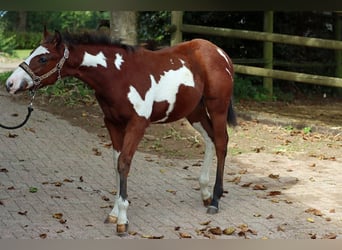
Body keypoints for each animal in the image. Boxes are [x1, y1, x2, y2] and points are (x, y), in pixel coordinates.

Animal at [5, 28, 236, 234]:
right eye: (31, 53)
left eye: (43, 59)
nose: (10, 83)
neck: (118, 75)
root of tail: (220, 52)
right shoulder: (112, 123)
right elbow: (115, 163)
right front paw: (114, 213)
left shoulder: (138, 124)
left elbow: (124, 163)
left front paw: (123, 220)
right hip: (194, 111)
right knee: (210, 138)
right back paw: (205, 192)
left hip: (217, 107)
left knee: (221, 142)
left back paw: (215, 199)